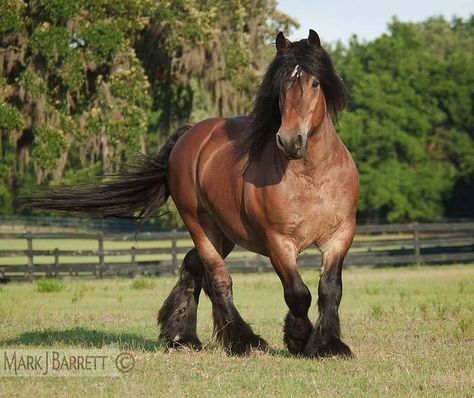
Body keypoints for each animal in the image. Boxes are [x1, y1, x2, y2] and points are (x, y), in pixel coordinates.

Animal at [30, 30, 360, 358]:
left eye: (314, 83)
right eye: (280, 87)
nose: (290, 141)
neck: (311, 177)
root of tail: (189, 135)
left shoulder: (339, 237)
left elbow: (330, 290)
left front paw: (329, 344)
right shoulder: (278, 242)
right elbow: (298, 294)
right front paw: (299, 340)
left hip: (222, 233)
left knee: (193, 265)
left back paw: (180, 334)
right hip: (200, 225)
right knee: (218, 279)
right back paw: (242, 341)